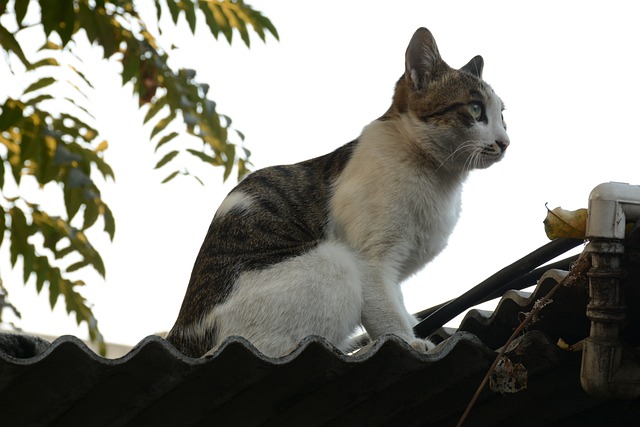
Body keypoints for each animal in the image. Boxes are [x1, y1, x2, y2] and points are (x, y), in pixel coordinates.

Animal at [166, 28, 510, 360]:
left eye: (503, 116)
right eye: (476, 109)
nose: (505, 142)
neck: (439, 179)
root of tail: (181, 332)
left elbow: (396, 304)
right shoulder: (371, 262)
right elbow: (387, 315)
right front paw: (408, 341)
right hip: (334, 262)